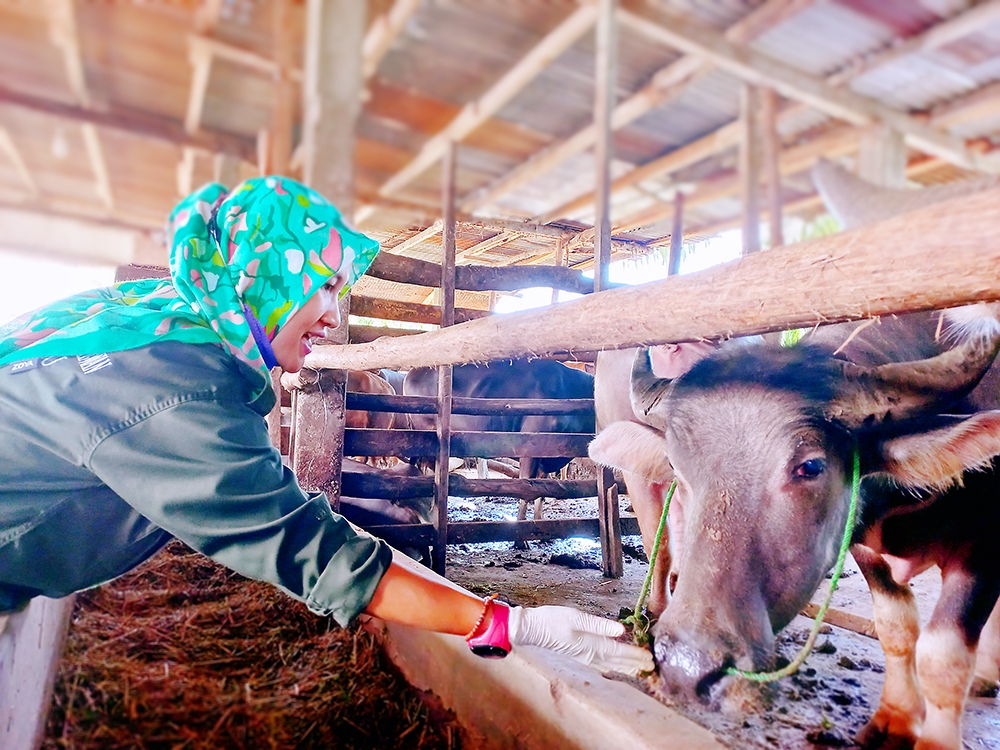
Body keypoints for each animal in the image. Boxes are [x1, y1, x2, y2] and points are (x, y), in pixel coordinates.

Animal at [588, 310, 1000, 748]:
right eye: (675, 468)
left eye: (811, 466)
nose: (687, 667)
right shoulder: (865, 549)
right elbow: (896, 628)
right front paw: (896, 718)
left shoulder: (985, 544)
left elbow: (944, 657)